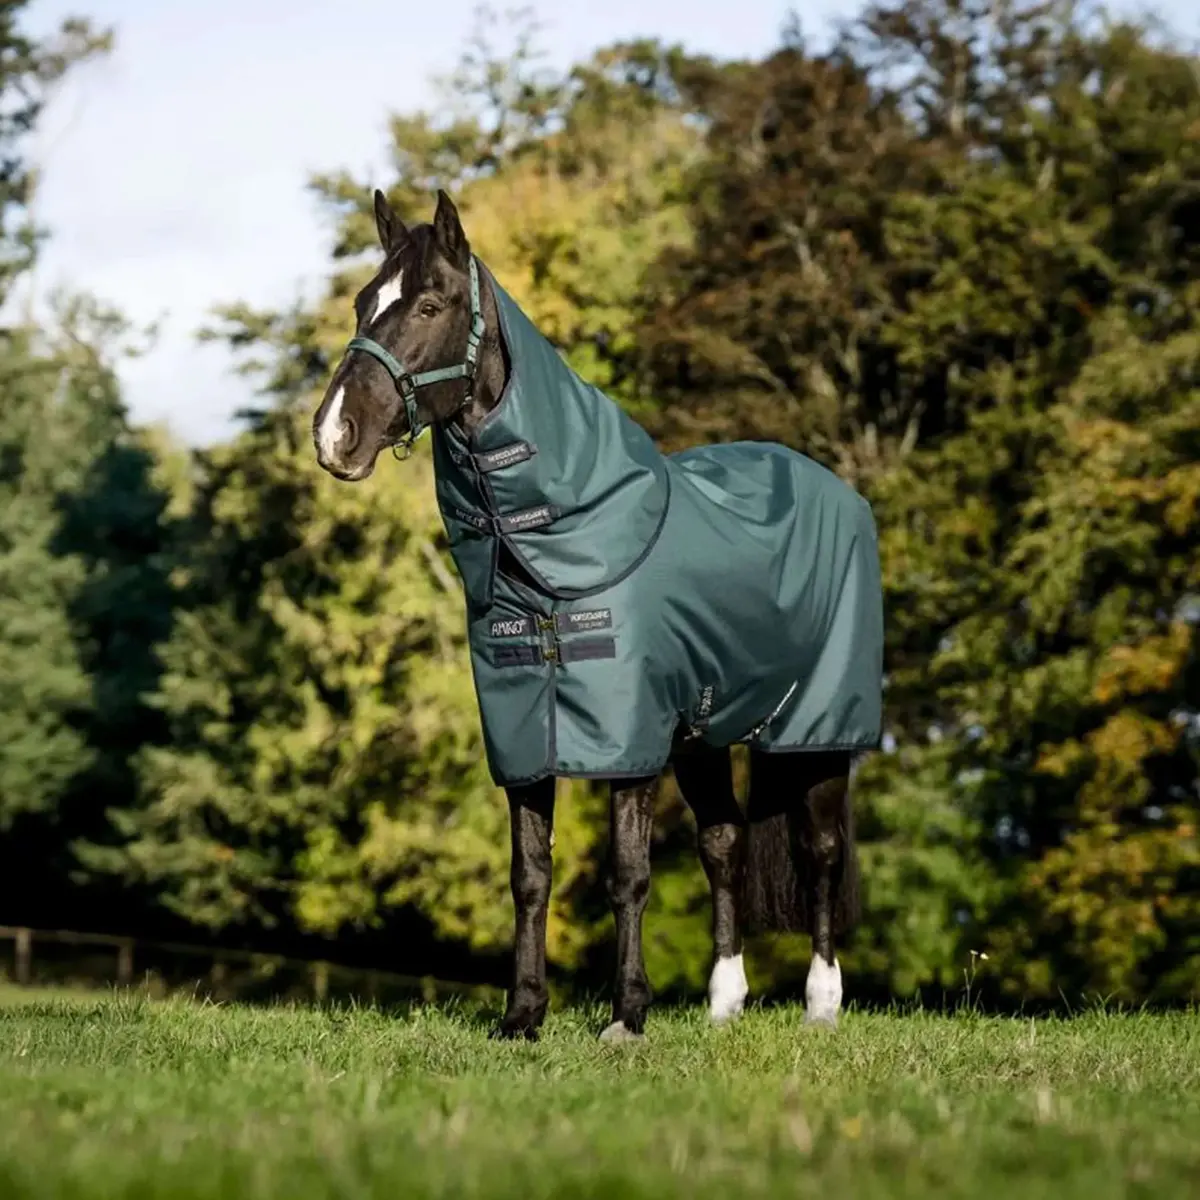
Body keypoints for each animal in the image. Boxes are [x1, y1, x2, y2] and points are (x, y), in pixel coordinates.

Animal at [311, 188, 883, 1040]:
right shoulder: (523, 738)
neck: (565, 545)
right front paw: (522, 1015)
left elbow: (629, 875)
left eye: (430, 304)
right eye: (361, 303)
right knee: (724, 844)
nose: (333, 435)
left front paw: (626, 1016)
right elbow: (529, 875)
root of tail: (836, 490)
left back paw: (822, 1003)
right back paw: (724, 1004)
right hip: (705, 735)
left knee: (818, 850)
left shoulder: (630, 743)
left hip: (816, 731)